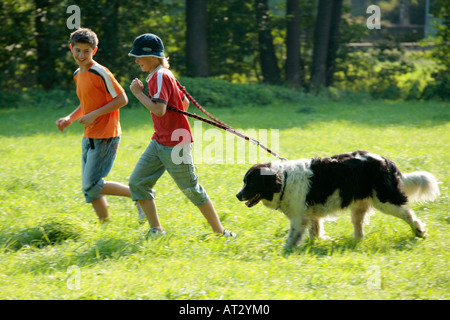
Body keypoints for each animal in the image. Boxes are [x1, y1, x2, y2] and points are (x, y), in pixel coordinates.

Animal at [236, 151, 440, 250]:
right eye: (245, 181)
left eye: (250, 182)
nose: (238, 195)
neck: (284, 179)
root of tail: (386, 161)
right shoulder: (311, 215)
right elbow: (315, 231)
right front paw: (320, 242)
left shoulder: (299, 218)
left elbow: (292, 238)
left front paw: (285, 251)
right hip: (359, 206)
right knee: (359, 227)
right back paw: (356, 243)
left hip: (385, 200)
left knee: (408, 214)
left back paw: (419, 231)